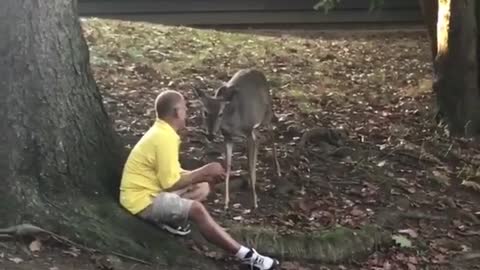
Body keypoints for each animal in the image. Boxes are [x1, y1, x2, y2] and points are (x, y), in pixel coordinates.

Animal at [192, 68, 280, 210]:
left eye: (220, 113)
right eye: (205, 112)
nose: (210, 135)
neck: (233, 122)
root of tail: (258, 71)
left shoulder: (248, 131)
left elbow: (249, 166)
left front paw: (255, 202)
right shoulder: (228, 137)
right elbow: (227, 166)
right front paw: (226, 203)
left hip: (267, 113)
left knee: (271, 135)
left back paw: (277, 171)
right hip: (255, 126)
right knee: (260, 138)